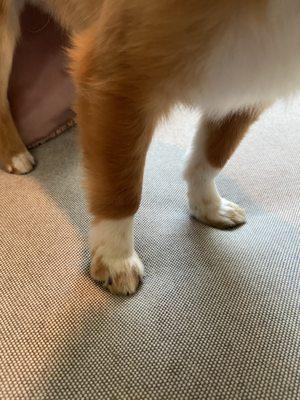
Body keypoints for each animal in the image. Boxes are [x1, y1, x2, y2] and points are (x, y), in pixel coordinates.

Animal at [0, 0, 300, 294]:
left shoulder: (246, 87)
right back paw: (14, 152)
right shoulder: (114, 80)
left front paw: (208, 206)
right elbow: (122, 192)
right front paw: (116, 257)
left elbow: (212, 158)